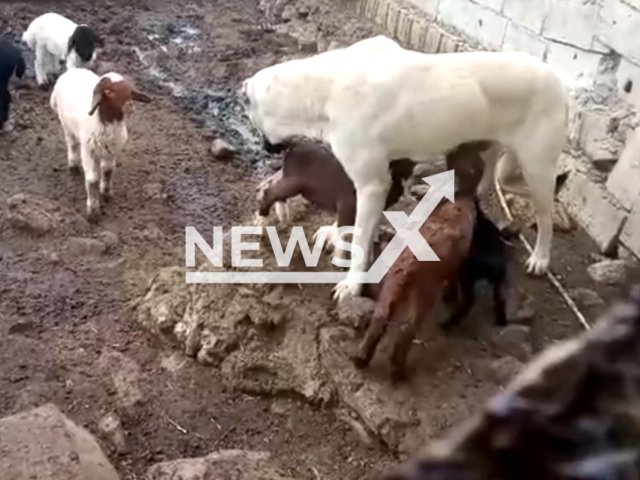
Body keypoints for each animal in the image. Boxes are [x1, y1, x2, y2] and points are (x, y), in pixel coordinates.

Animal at [50, 68, 151, 221]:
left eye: (129, 90)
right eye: (108, 91)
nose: (130, 106)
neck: (105, 123)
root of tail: (73, 69)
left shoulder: (112, 150)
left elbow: (108, 171)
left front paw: (106, 193)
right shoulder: (88, 151)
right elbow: (92, 180)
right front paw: (93, 211)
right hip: (66, 125)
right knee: (72, 144)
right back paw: (73, 166)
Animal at [242, 35, 568, 302]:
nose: (267, 149)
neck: (324, 87)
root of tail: (558, 81)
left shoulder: (371, 185)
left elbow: (359, 237)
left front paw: (352, 286)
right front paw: (335, 232)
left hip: (536, 166)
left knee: (545, 213)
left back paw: (541, 257)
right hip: (490, 151)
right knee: (486, 182)